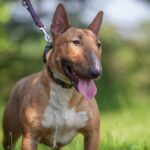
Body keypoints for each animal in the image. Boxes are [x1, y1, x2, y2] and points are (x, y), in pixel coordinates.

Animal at [2, 3, 103, 150]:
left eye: (98, 44)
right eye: (76, 42)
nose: (96, 72)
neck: (65, 91)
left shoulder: (92, 134)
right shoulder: (30, 138)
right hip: (9, 133)